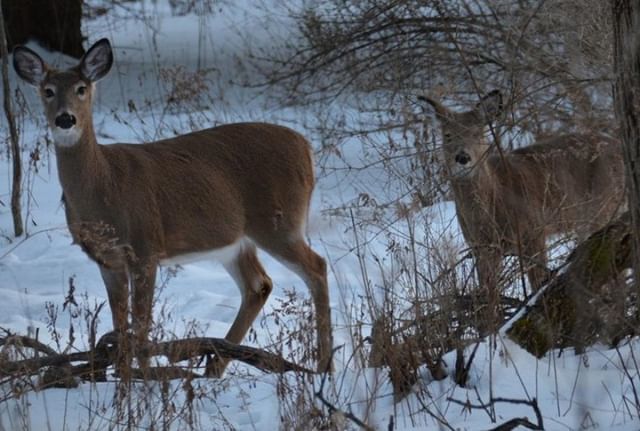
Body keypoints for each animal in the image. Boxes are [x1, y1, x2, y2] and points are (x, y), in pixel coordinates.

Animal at [13, 38, 332, 376]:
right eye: (48, 90)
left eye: (81, 88)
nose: (65, 119)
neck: (104, 187)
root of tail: (306, 147)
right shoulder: (107, 259)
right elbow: (120, 326)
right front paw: (123, 378)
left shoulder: (145, 247)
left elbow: (141, 327)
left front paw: (142, 380)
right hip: (236, 241)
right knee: (259, 285)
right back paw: (215, 367)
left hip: (278, 223)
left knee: (316, 267)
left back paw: (323, 366)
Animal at [421, 90, 625, 329]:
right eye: (447, 135)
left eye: (478, 133)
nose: (463, 157)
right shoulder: (482, 247)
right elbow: (489, 294)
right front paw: (490, 332)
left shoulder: (533, 231)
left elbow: (538, 283)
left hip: (603, 206)